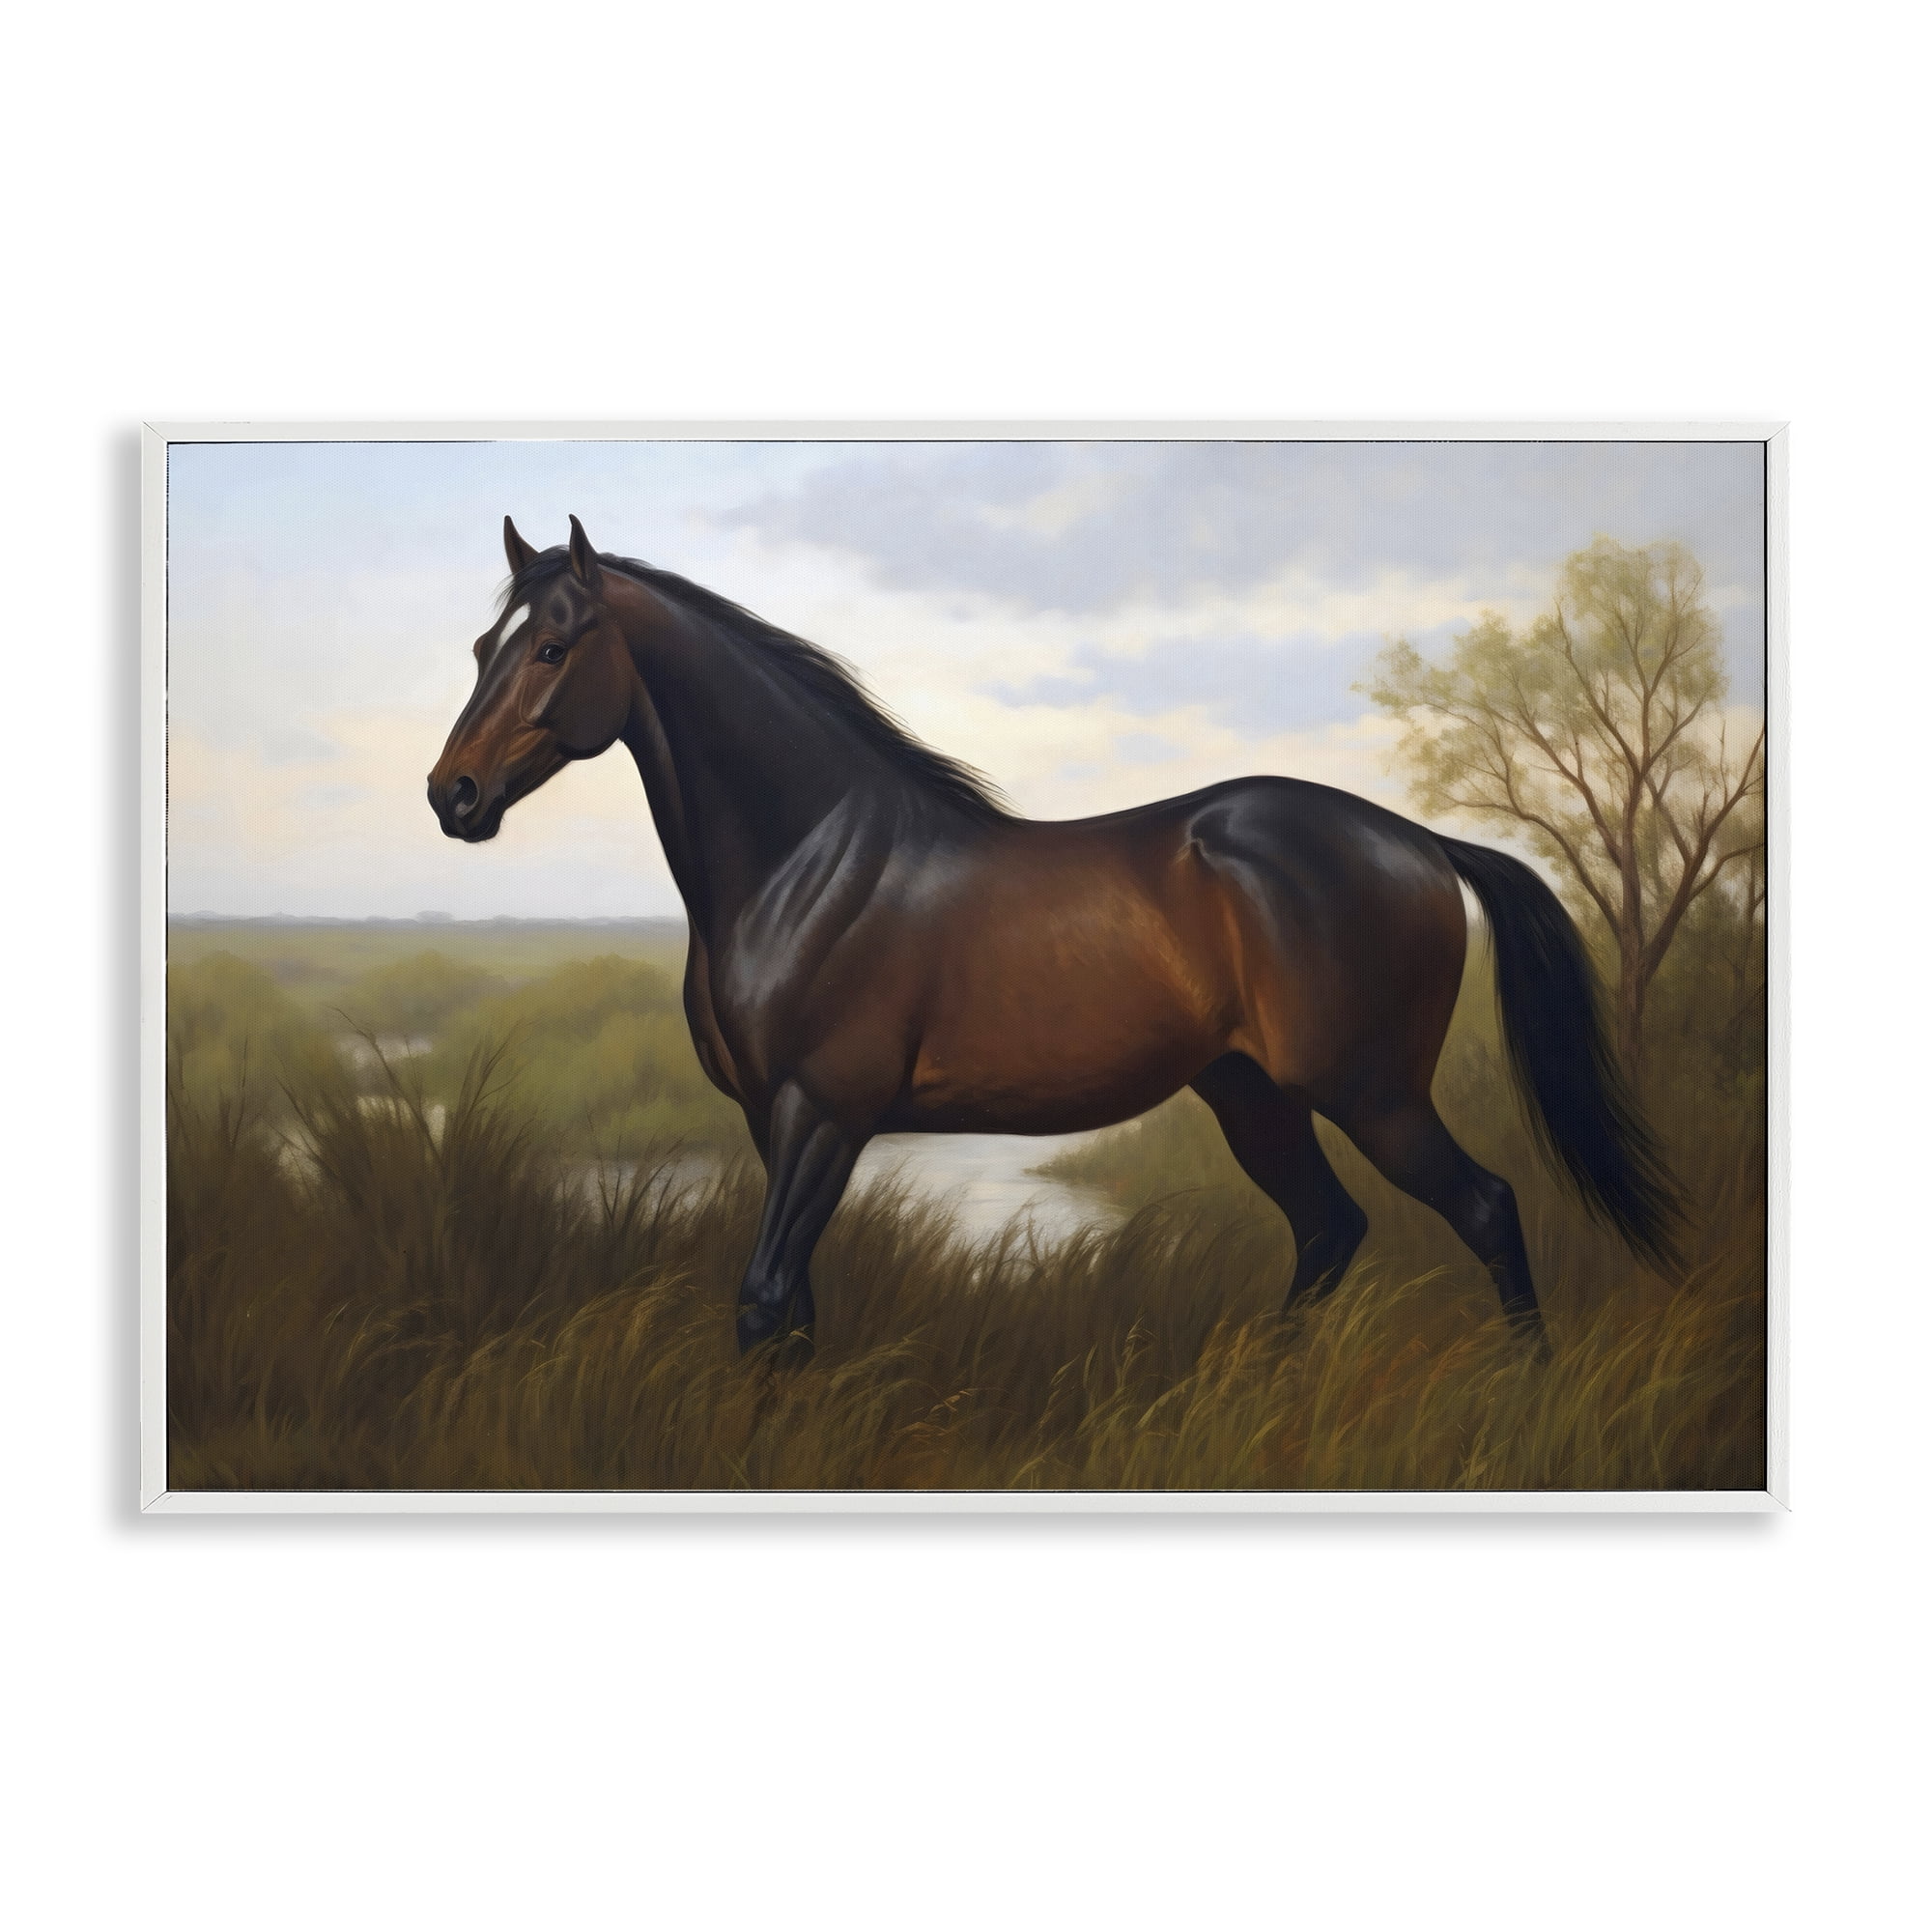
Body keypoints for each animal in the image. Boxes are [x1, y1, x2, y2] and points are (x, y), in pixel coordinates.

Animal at [428, 515, 1682, 1355]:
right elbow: (794, 1312)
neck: (807, 862)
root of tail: (1416, 839)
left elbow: (762, 1299)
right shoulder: (768, 1120)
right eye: (482, 647)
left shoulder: (823, 1114)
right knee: (1329, 1230)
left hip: (1368, 1089)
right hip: (1251, 1094)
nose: (453, 794)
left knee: (1482, 1209)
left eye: (553, 647)